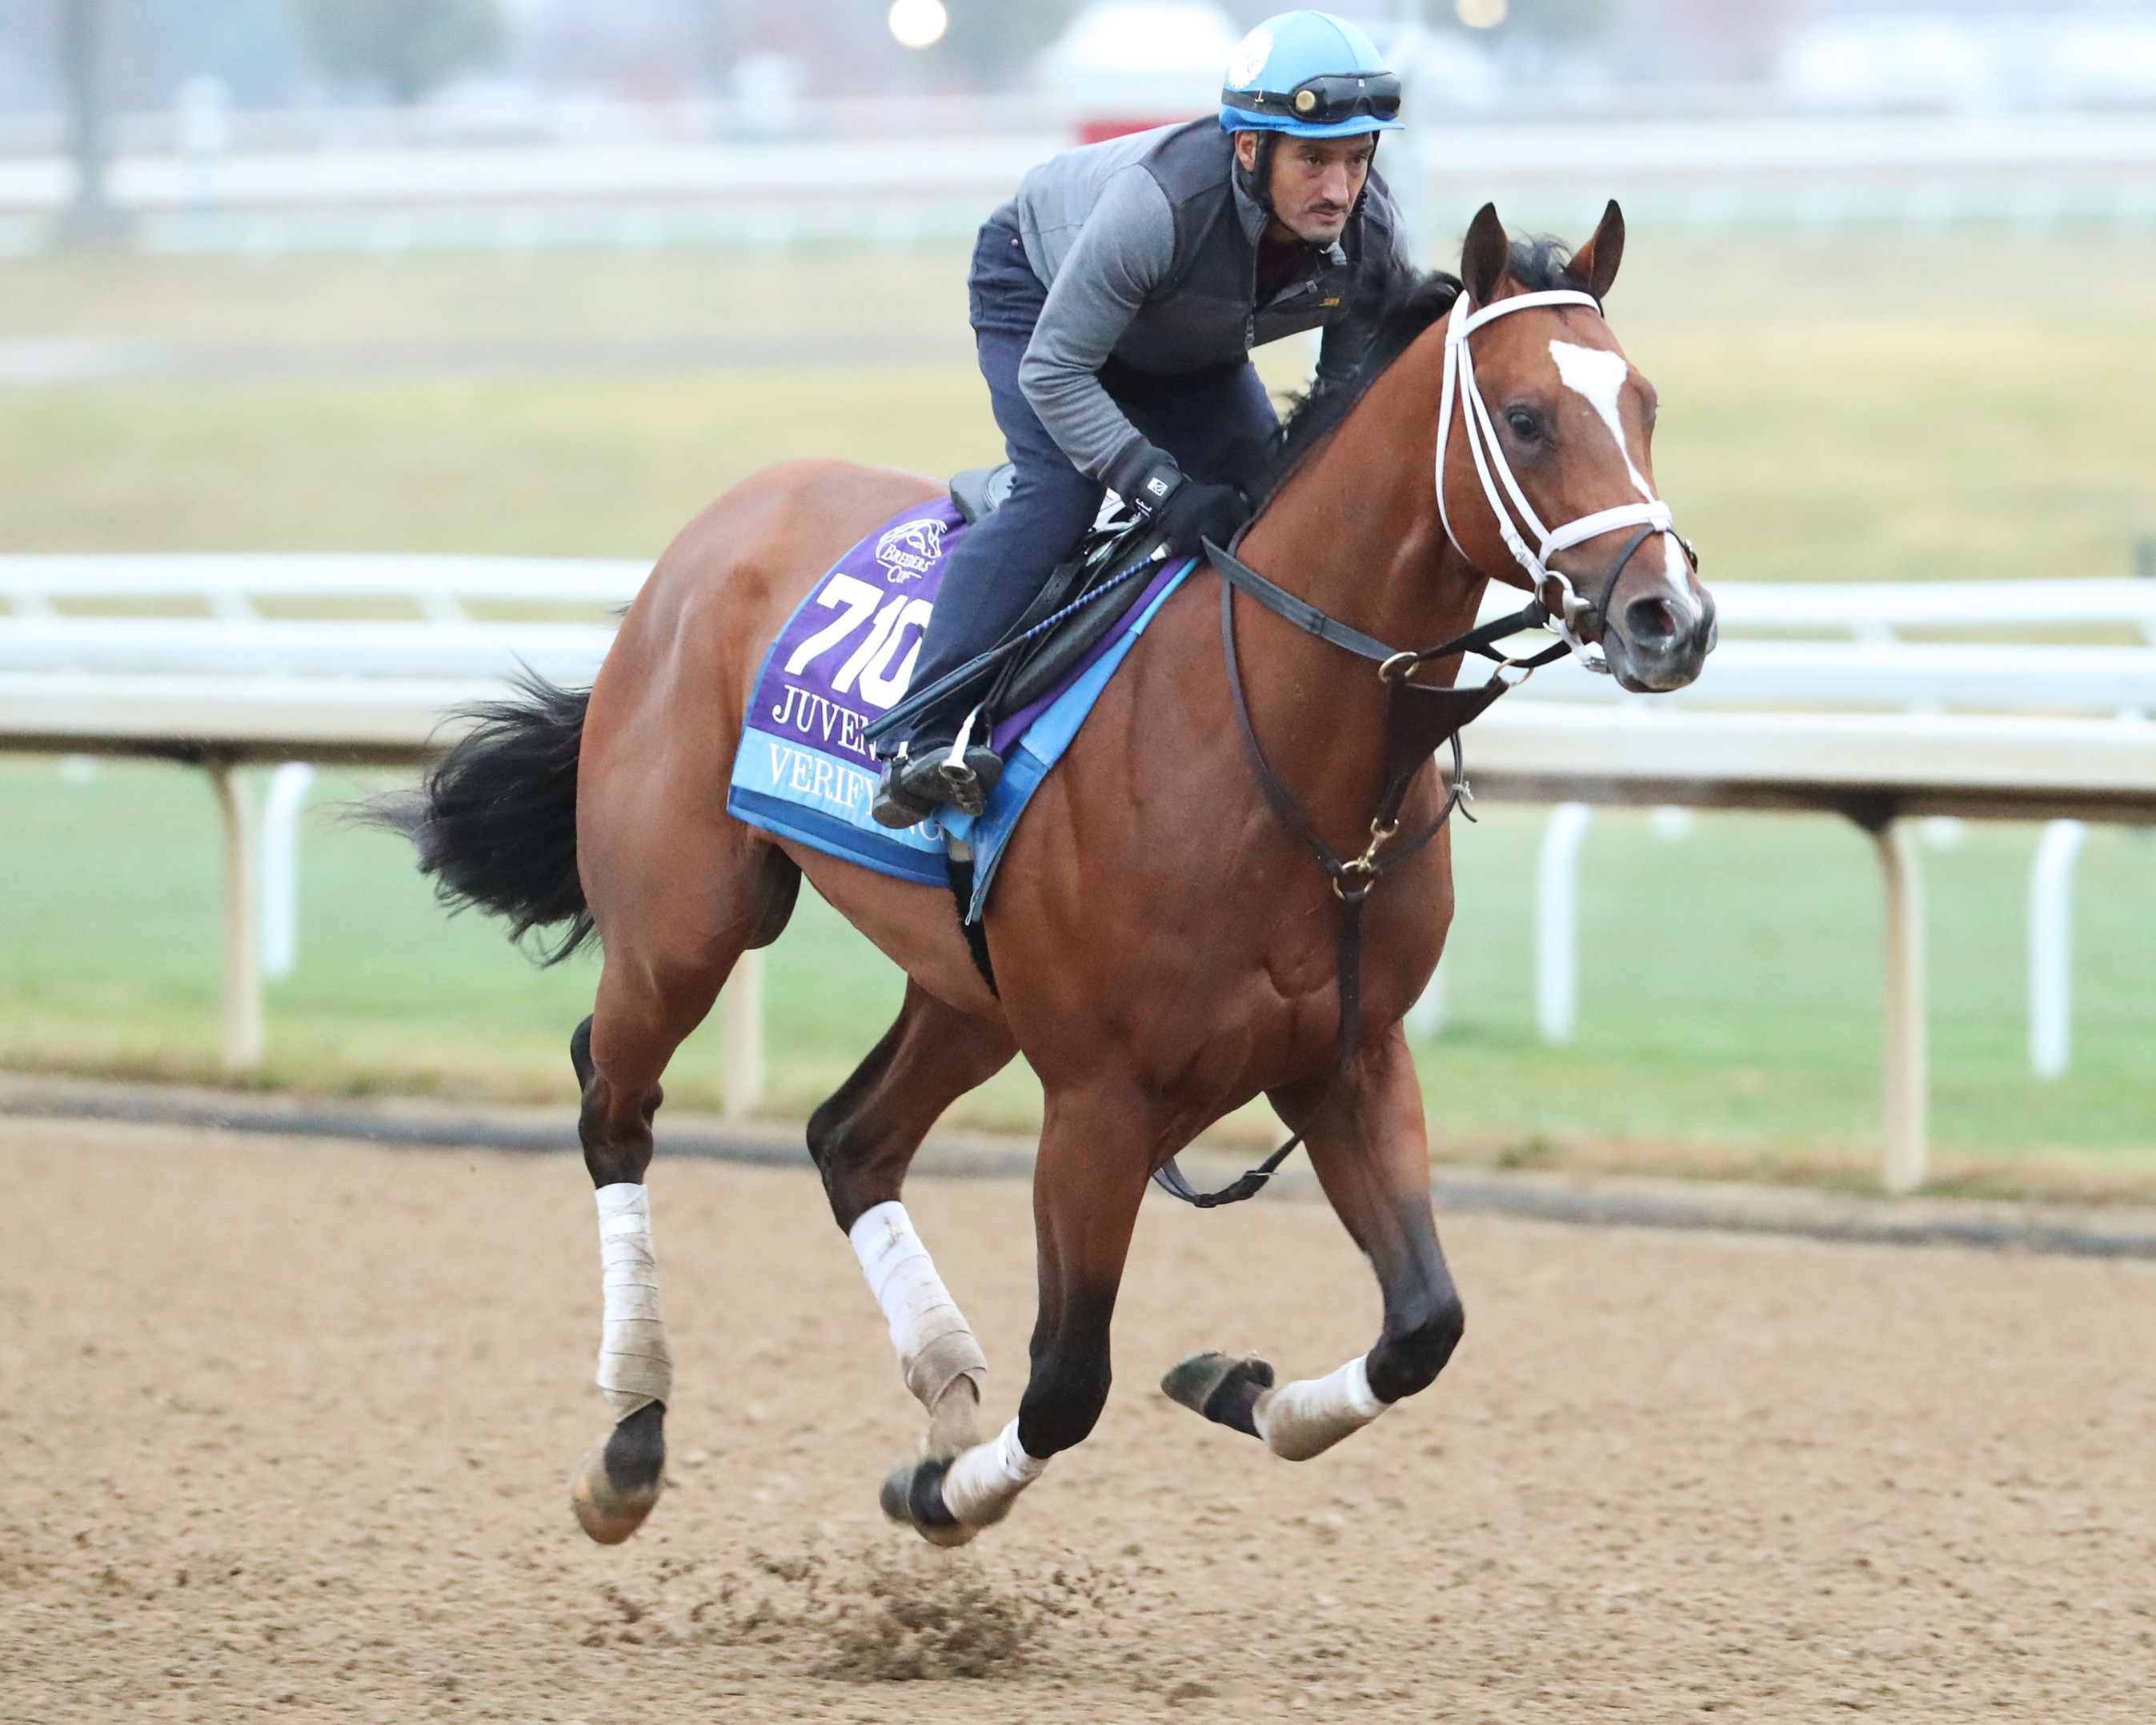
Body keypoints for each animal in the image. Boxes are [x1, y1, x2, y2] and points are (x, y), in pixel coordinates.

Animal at [396, 203, 1716, 1552]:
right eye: (1526, 417)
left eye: (1646, 403)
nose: (1671, 617)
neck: (1276, 737)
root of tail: (710, 531)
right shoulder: (1098, 1099)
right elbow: (1070, 1380)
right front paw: (940, 1492)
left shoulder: (1346, 1054)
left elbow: (1422, 1326)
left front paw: (1229, 1384)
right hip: (687, 924)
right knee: (614, 1102)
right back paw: (632, 1434)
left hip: (965, 989)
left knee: (847, 1138)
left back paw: (939, 1370)